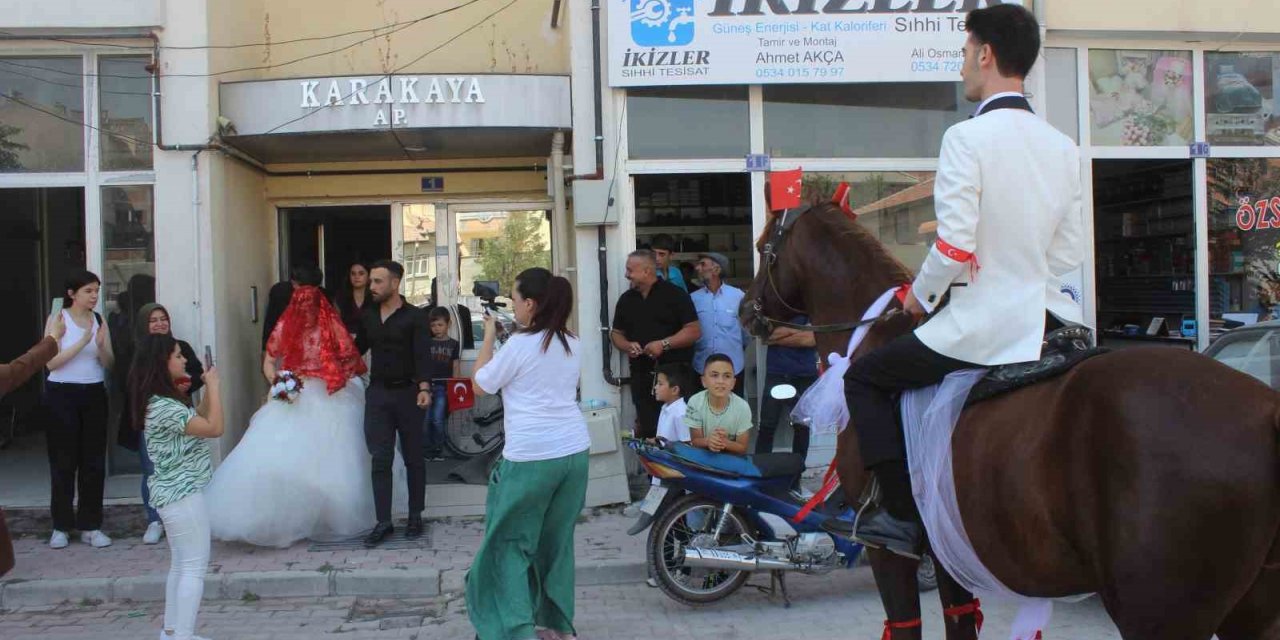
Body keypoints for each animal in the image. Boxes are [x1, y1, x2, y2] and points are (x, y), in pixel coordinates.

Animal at [742, 200, 1280, 640]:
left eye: (765, 245)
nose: (747, 310)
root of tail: (1264, 410)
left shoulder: (889, 554)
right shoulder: (948, 550)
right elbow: (960, 624)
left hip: (1159, 614)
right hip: (1250, 612)